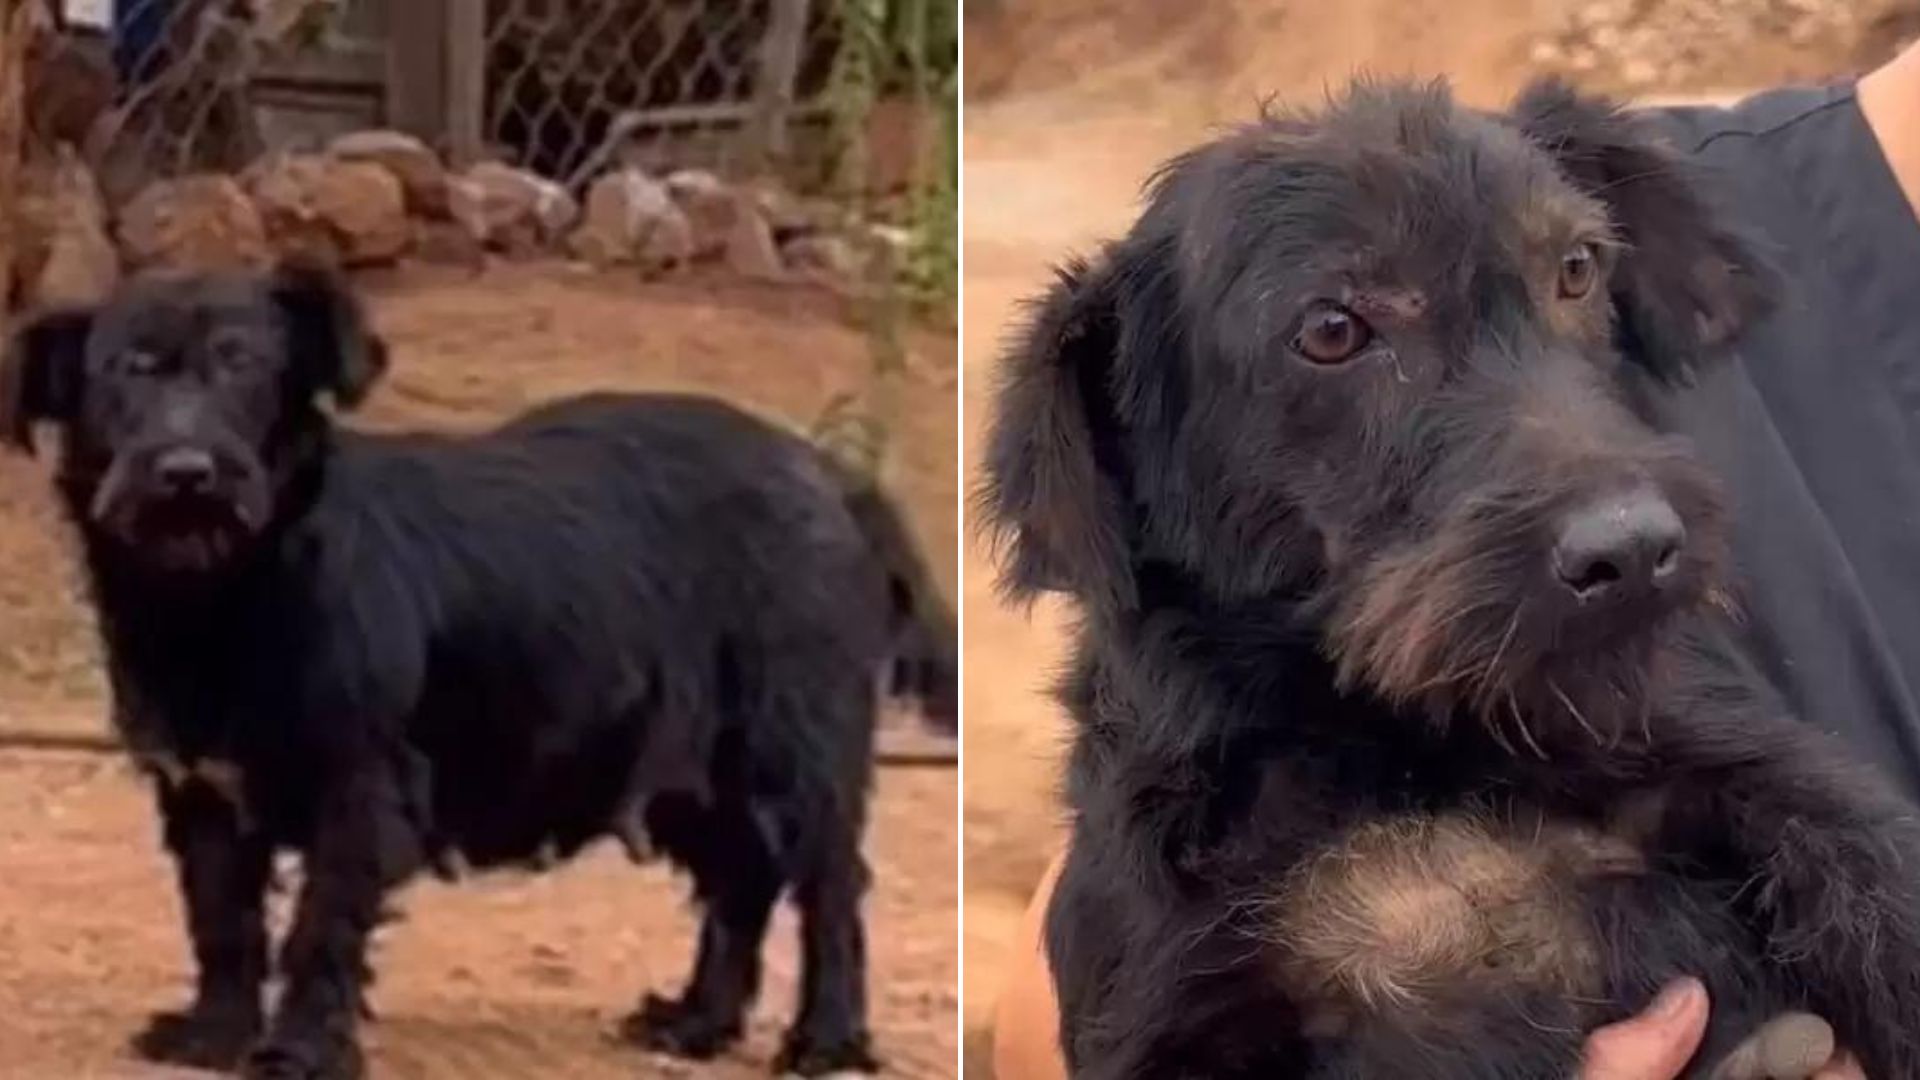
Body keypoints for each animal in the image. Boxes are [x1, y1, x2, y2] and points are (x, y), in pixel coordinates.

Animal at [0, 263, 952, 1076]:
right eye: (128, 371)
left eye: (246, 368)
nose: (186, 473)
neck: (227, 591)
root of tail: (834, 477)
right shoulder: (202, 790)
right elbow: (220, 919)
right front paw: (215, 1035)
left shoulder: (361, 789)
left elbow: (319, 928)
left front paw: (300, 1049)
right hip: (689, 768)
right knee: (741, 884)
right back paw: (698, 1022)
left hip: (791, 752)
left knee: (830, 891)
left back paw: (827, 1039)